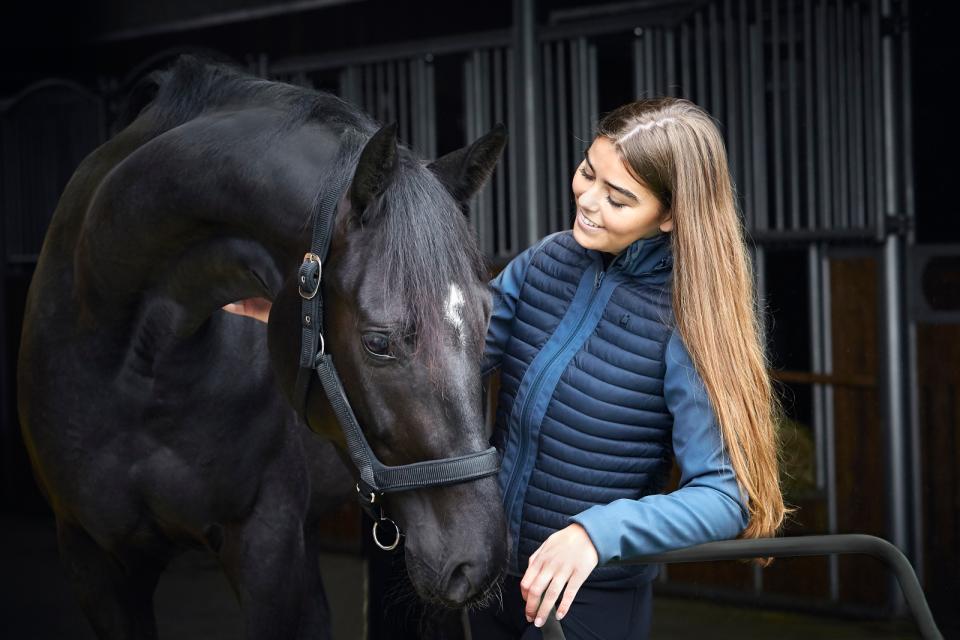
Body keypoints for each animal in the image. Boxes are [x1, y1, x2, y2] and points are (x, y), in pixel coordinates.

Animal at [16, 56, 510, 640]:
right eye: (378, 342)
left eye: (489, 322)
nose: (477, 560)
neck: (132, 366)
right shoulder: (93, 560)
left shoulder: (271, 548)